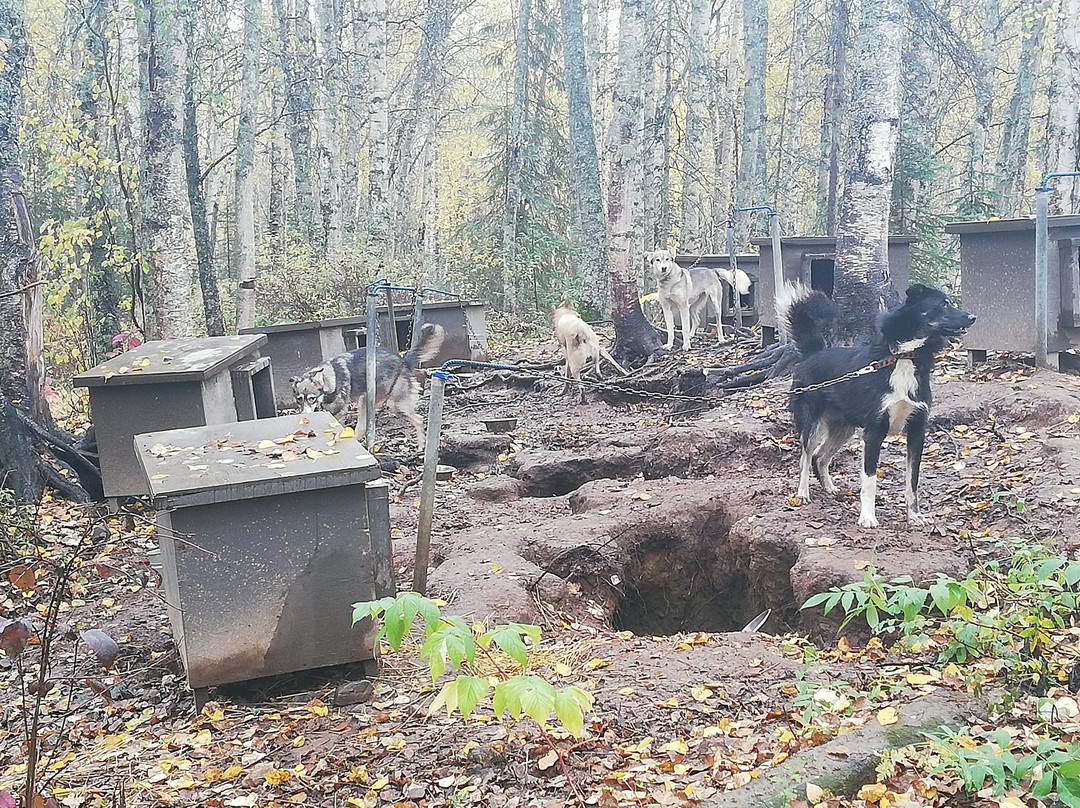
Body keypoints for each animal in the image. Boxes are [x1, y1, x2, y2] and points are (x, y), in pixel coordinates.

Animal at [289, 321, 444, 447]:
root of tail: (403, 361)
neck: (330, 377)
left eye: (311, 398)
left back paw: (421, 446)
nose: (305, 416)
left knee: (419, 419)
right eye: (299, 400)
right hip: (367, 401)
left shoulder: (339, 412)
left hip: (394, 405)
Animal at [781, 285, 976, 529]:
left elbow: (912, 481)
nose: (972, 317)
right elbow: (869, 480)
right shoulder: (874, 431)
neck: (904, 357)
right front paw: (867, 517)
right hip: (811, 424)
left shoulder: (917, 432)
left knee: (820, 456)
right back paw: (802, 493)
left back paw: (830, 488)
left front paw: (914, 515)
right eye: (943, 303)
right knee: (805, 457)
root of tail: (814, 352)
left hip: (844, 428)